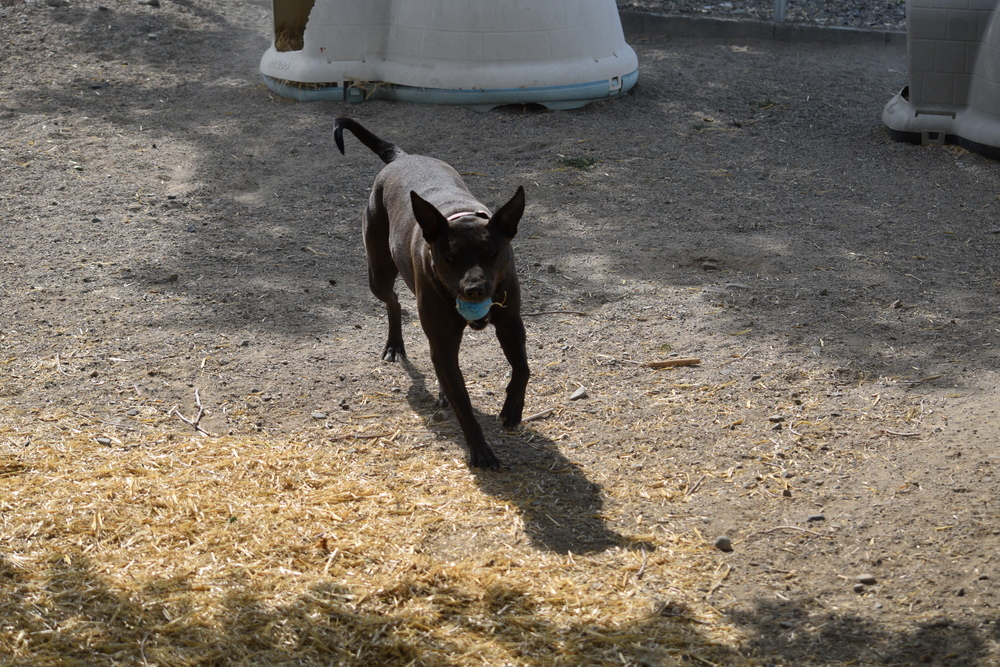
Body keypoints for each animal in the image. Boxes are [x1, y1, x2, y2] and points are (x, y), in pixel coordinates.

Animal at [334, 117, 532, 470]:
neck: (460, 214)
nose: (474, 290)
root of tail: (401, 157)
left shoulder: (510, 322)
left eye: (493, 253)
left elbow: (523, 368)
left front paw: (512, 410)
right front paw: (481, 451)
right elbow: (463, 402)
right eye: (450, 257)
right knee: (393, 302)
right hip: (379, 273)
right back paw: (395, 345)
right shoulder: (442, 340)